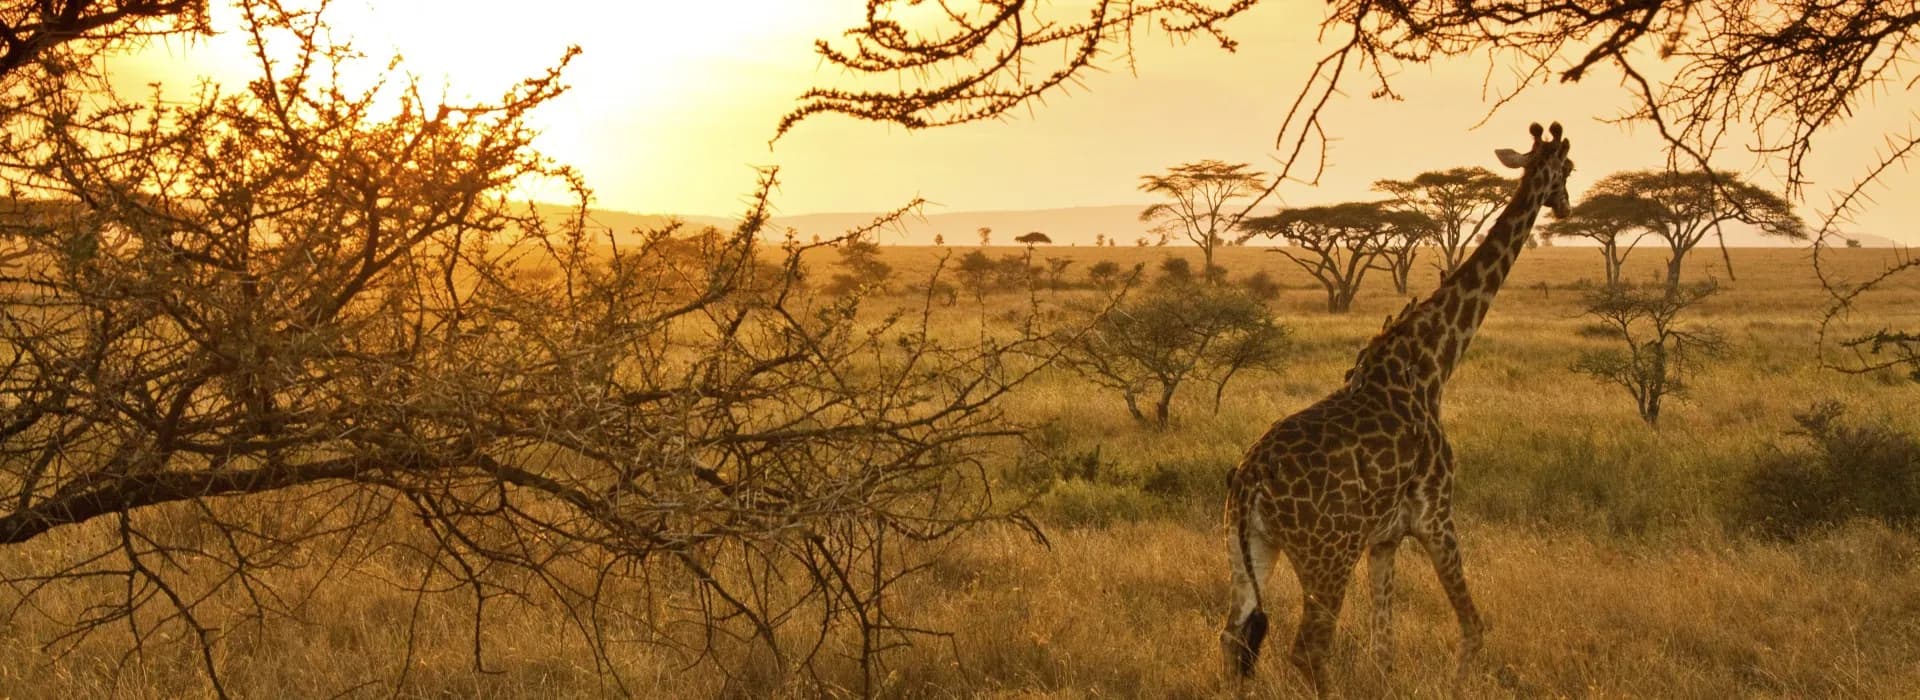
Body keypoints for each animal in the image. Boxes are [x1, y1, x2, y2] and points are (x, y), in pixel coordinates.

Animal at [1220, 122, 1574, 694]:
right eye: (1568, 168)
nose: (1565, 207)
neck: (1432, 364)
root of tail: (1249, 477)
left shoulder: (1383, 540)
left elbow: (1384, 647)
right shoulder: (1436, 514)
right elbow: (1473, 628)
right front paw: (1458, 687)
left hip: (1248, 544)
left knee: (1233, 636)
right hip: (1326, 555)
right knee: (1307, 648)